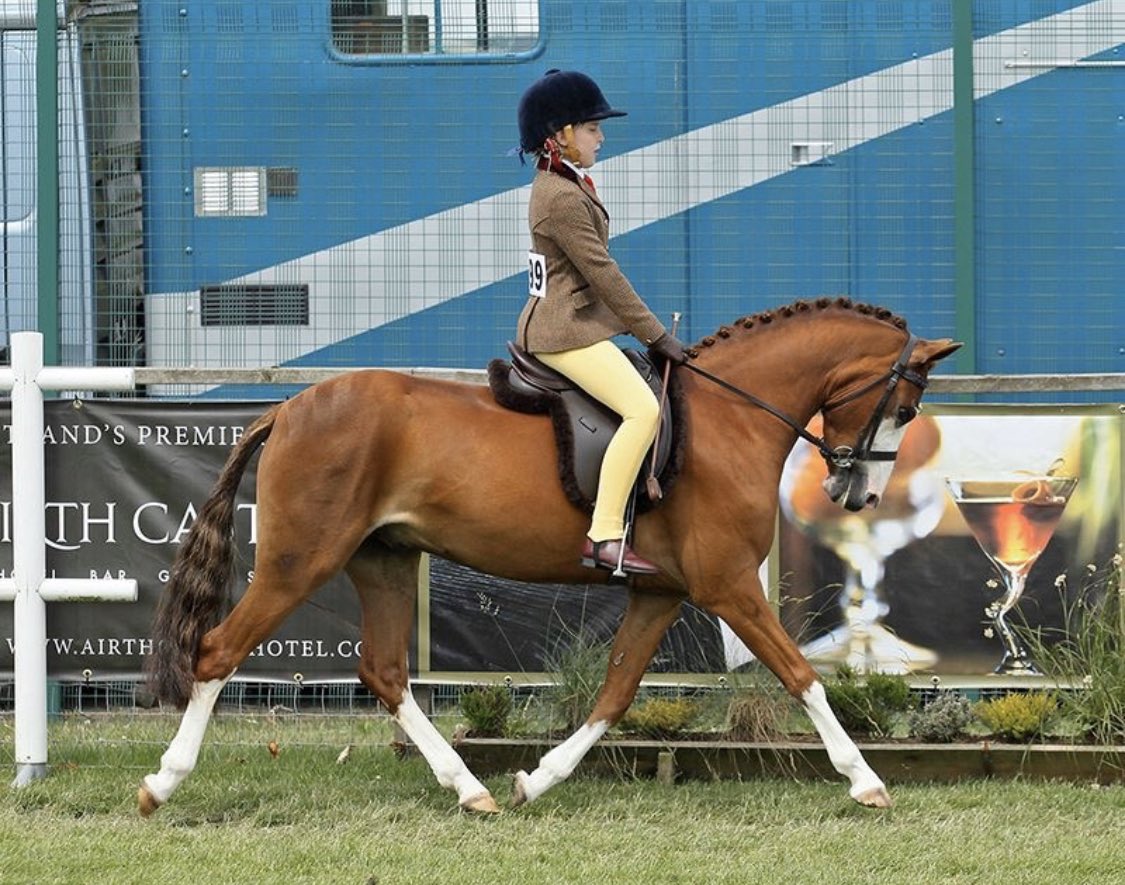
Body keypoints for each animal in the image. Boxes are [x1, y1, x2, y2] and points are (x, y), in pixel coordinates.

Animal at [138, 297, 960, 816]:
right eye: (904, 407)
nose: (856, 492)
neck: (730, 416)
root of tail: (288, 407)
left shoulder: (661, 592)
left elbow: (615, 693)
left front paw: (536, 780)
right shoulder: (727, 585)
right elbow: (801, 676)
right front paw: (865, 780)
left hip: (384, 559)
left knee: (384, 671)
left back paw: (471, 789)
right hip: (299, 560)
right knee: (217, 651)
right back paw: (163, 783)